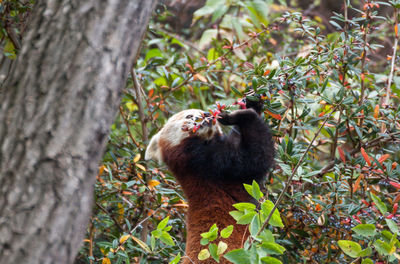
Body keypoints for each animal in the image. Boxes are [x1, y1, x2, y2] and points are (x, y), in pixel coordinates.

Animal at [145, 100, 274, 262]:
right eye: (189, 116)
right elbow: (257, 156)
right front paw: (241, 115)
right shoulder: (216, 166)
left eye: (202, 111)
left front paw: (251, 102)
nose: (206, 114)